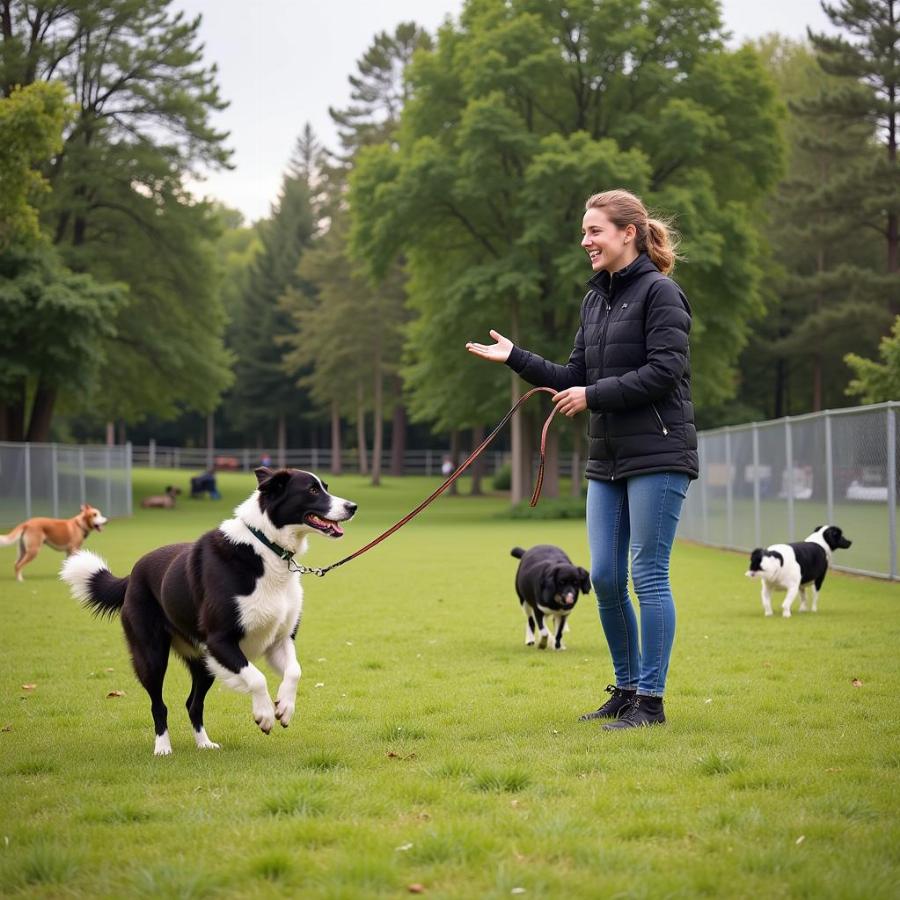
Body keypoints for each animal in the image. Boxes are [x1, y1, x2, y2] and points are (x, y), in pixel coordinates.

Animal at [59, 468, 356, 756]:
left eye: (325, 486)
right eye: (312, 490)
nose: (353, 506)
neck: (266, 547)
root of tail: (131, 576)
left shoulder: (279, 640)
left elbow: (294, 671)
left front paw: (284, 707)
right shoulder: (220, 641)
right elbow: (257, 678)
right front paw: (264, 715)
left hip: (202, 661)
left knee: (193, 703)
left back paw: (204, 744)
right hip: (152, 655)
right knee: (159, 704)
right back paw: (163, 748)